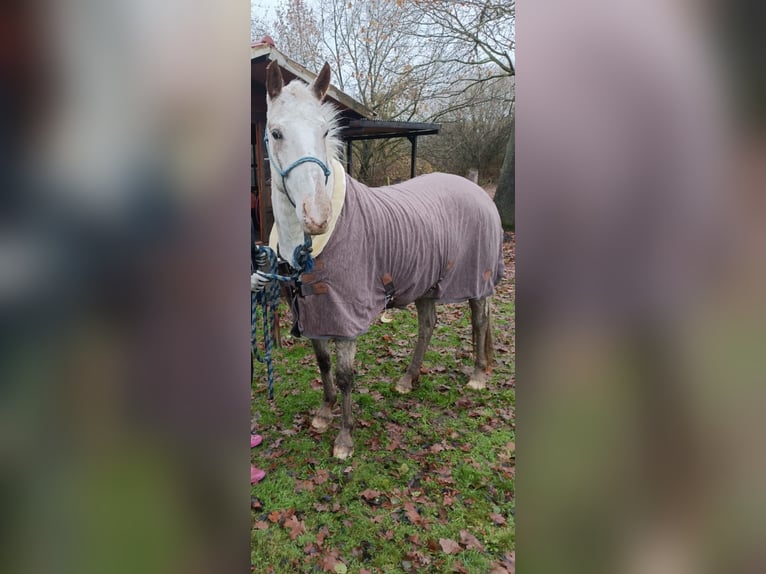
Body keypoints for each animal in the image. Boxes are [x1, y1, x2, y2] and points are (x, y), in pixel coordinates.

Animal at [265, 61, 504, 459]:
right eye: (276, 132)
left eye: (325, 130)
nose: (317, 217)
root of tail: (477, 190)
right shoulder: (313, 312)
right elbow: (323, 363)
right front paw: (324, 413)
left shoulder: (345, 316)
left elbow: (346, 375)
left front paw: (344, 438)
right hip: (428, 283)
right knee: (428, 325)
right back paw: (408, 379)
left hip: (476, 280)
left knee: (479, 320)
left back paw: (476, 377)